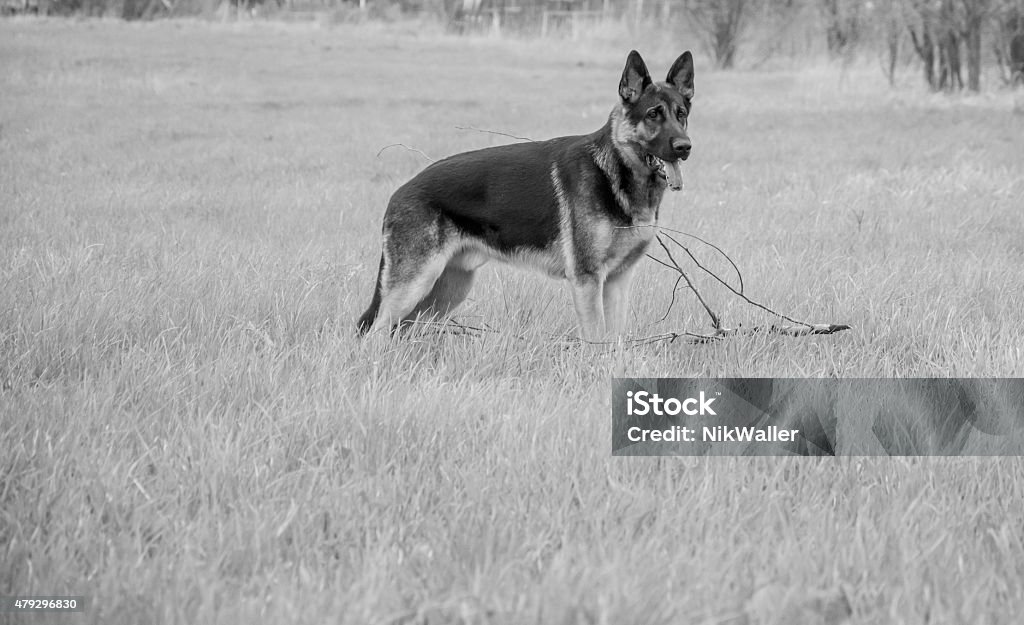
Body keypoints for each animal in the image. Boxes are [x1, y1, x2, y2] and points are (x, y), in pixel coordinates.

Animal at [354, 50, 696, 338]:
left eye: (681, 114)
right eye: (653, 114)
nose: (685, 147)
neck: (615, 169)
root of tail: (400, 192)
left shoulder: (617, 282)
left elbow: (615, 342)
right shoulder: (587, 280)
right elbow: (597, 339)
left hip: (446, 291)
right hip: (415, 285)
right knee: (374, 332)